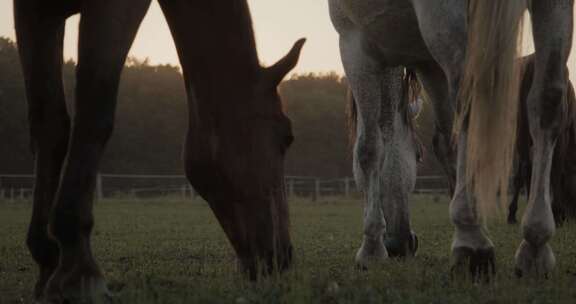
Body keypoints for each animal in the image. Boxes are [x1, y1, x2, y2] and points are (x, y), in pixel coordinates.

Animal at [13, 0, 304, 302]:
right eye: (287, 136)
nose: (282, 258)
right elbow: (93, 113)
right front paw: (78, 271)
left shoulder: (38, 13)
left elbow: (50, 126)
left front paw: (48, 261)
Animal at [508, 55, 576, 226]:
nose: (572, 215)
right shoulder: (563, 133)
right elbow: (555, 169)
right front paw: (557, 212)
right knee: (551, 167)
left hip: (521, 127)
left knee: (526, 165)